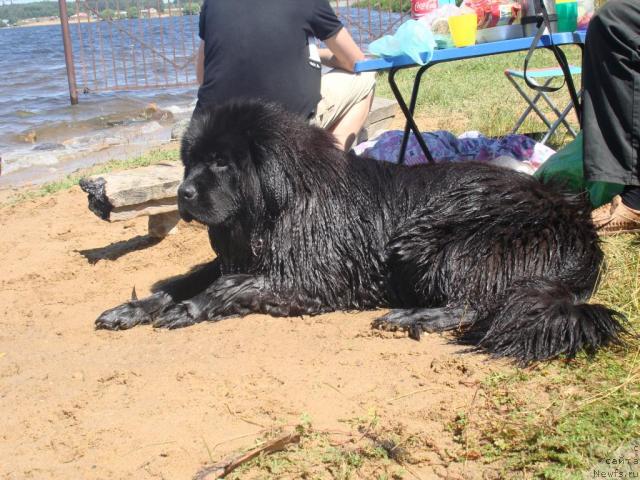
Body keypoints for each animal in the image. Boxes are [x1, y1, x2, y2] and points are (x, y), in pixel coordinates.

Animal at [96, 101, 624, 364]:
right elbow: (184, 280)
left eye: (222, 162)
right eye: (190, 161)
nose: (183, 193)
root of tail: (579, 225)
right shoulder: (248, 256)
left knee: (476, 301)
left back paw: (412, 316)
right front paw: (133, 308)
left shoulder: (314, 281)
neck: (281, 203)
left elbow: (228, 285)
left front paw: (191, 308)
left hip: (432, 241)